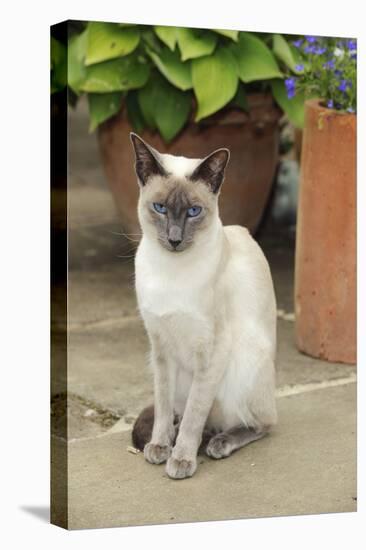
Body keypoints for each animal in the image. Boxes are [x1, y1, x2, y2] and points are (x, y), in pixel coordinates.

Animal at [130, 132, 276, 480]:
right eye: (160, 208)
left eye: (194, 211)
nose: (174, 239)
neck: (171, 272)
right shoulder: (160, 347)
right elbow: (164, 405)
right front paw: (160, 446)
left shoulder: (211, 348)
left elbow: (196, 412)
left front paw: (181, 460)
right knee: (184, 413)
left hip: (243, 362)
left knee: (260, 422)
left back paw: (218, 443)